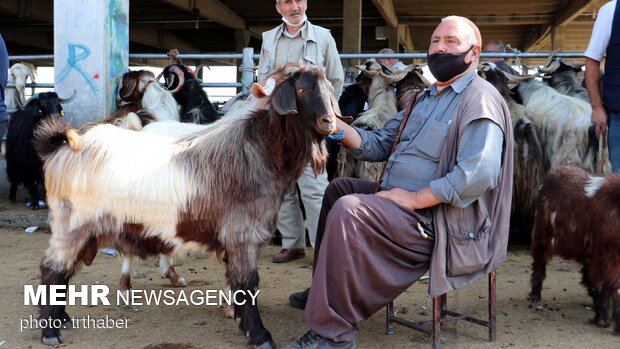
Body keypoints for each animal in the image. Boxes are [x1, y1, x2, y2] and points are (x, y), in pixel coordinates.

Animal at [32, 64, 336, 346]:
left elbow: (236, 282)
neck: (254, 149)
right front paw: (260, 335)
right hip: (72, 225)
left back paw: (63, 319)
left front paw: (236, 316)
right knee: (52, 271)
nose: (329, 121)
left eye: (328, 89)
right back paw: (51, 332)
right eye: (300, 89)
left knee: (64, 271)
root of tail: (62, 146)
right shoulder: (242, 234)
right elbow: (248, 283)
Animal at [528, 165, 620, 332]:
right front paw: (603, 320)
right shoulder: (606, 256)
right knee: (539, 263)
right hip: (541, 235)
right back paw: (534, 295)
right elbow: (610, 285)